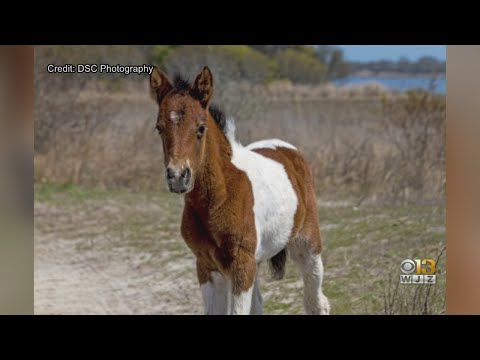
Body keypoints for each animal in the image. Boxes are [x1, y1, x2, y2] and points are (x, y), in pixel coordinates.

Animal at [150, 66, 330, 314]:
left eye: (201, 128)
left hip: (307, 245)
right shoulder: (206, 266)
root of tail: (287, 149)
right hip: (256, 260)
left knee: (317, 302)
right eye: (159, 128)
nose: (178, 177)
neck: (219, 197)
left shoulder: (241, 265)